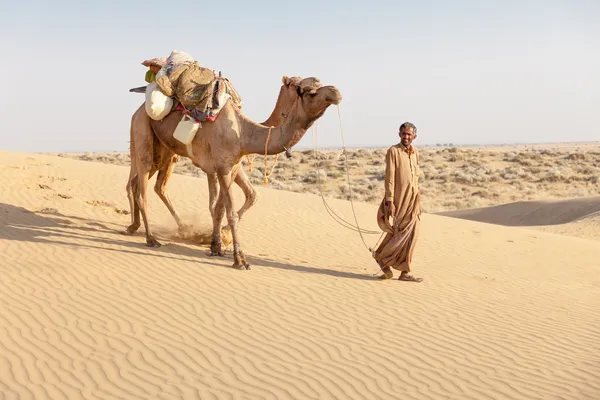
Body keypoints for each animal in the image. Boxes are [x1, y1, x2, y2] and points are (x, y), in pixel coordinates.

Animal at [128, 76, 340, 268]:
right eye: (309, 91)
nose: (335, 91)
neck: (243, 133)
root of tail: (137, 111)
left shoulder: (230, 167)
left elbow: (222, 208)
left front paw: (217, 246)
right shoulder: (222, 168)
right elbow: (229, 213)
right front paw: (239, 258)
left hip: (163, 151)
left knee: (141, 184)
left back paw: (135, 227)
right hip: (143, 134)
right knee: (142, 189)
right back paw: (151, 238)